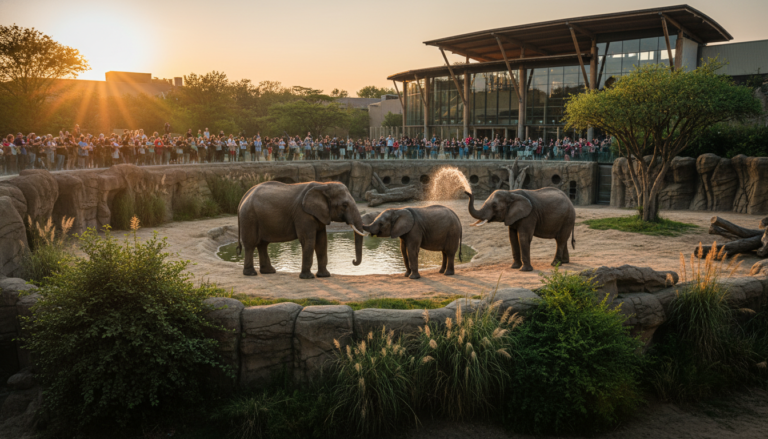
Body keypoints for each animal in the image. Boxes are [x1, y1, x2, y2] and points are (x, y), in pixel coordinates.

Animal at [236, 181, 366, 279]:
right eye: (344, 205)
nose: (353, 261)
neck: (323, 185)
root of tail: (244, 196)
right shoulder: (302, 214)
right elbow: (308, 240)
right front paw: (308, 277)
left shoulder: (319, 214)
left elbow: (322, 241)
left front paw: (324, 276)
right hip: (249, 217)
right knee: (251, 244)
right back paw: (251, 274)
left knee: (263, 244)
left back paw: (269, 272)